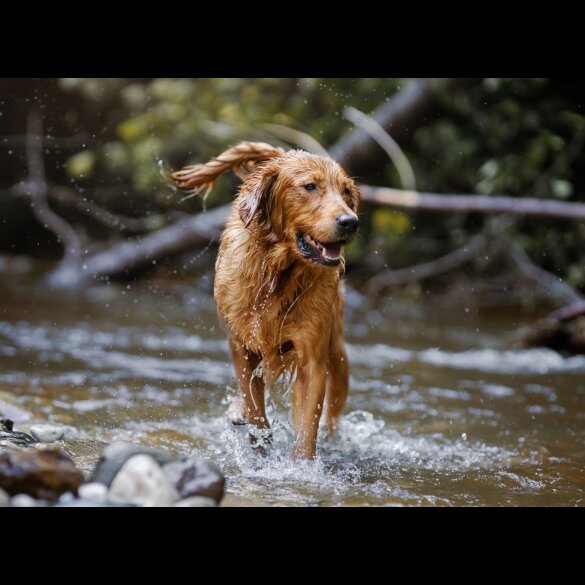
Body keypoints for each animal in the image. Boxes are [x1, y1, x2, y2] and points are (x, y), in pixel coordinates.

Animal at [171, 141, 358, 456]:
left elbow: (307, 426)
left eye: (346, 191)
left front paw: (301, 464)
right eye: (310, 186)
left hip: (338, 353)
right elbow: (254, 404)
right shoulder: (241, 345)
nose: (350, 221)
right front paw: (259, 446)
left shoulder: (312, 357)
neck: (277, 276)